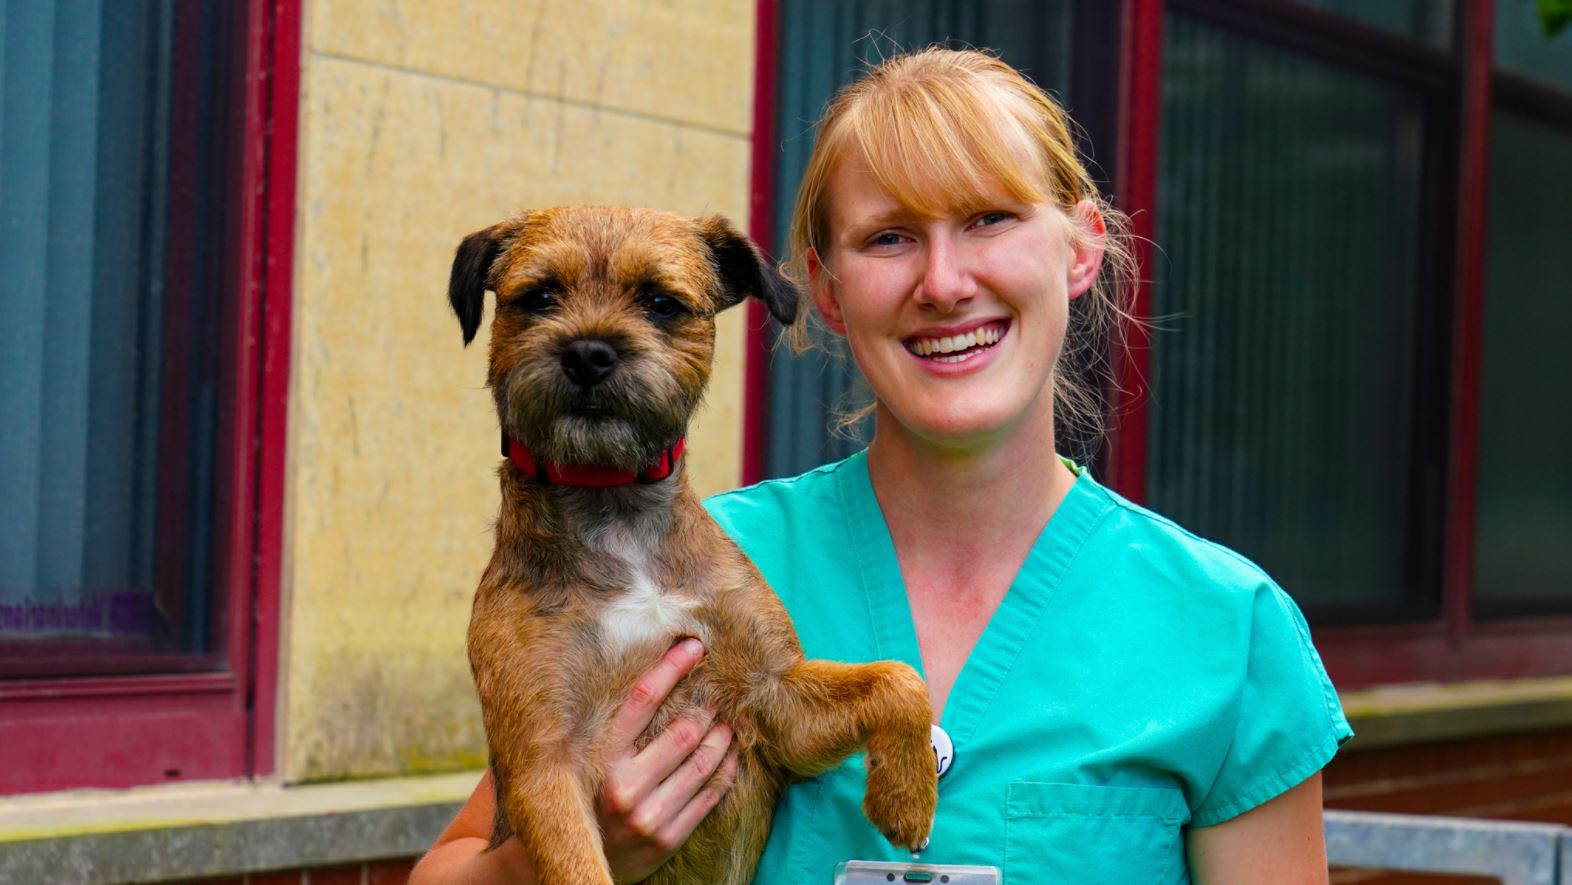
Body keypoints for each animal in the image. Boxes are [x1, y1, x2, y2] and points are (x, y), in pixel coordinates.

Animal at [446, 204, 930, 880]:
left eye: (661, 302)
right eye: (539, 296)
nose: (589, 352)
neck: (615, 511)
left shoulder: (774, 699)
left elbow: (898, 678)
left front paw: (906, 796)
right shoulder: (544, 763)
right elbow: (579, 867)